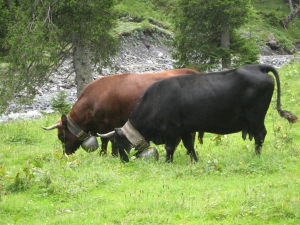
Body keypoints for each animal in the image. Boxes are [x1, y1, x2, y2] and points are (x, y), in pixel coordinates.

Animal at [41, 68, 198, 156]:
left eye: (61, 136)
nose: (66, 154)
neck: (93, 100)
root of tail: (191, 70)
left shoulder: (108, 123)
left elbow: (107, 139)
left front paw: (107, 154)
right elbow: (106, 139)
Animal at [98, 64, 298, 163]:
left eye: (118, 143)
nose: (123, 161)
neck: (155, 101)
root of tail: (258, 67)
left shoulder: (171, 130)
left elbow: (170, 148)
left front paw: (168, 162)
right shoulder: (186, 129)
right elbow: (189, 146)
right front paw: (195, 160)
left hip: (255, 117)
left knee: (260, 135)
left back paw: (256, 155)